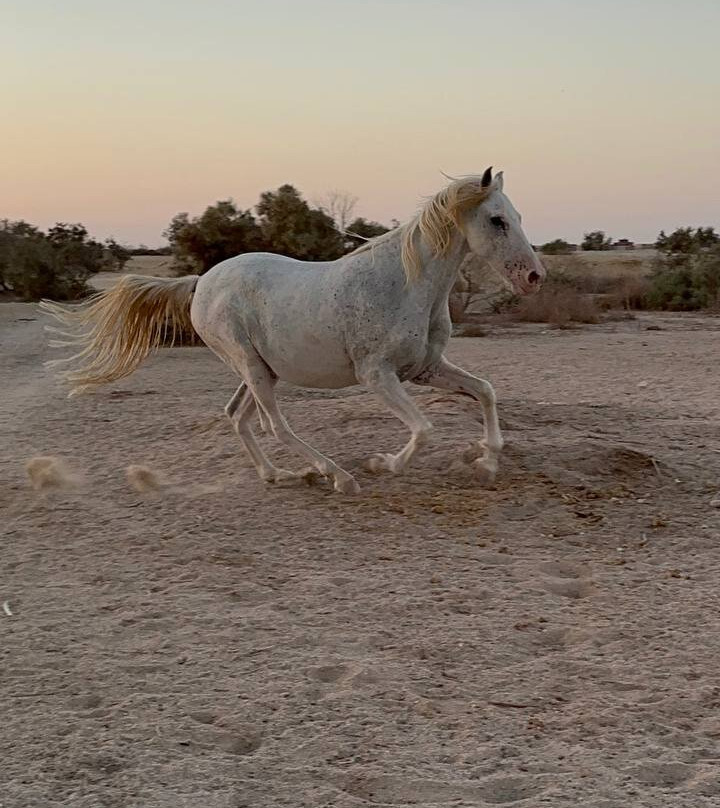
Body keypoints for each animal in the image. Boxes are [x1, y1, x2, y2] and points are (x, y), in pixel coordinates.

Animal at [42, 167, 546, 494]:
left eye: (519, 216)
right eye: (497, 220)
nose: (534, 277)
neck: (405, 284)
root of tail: (203, 282)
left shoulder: (425, 369)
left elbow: (485, 391)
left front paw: (486, 463)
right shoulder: (377, 376)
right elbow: (424, 430)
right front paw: (383, 464)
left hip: (259, 370)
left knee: (237, 416)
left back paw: (281, 476)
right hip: (251, 366)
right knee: (272, 423)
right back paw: (337, 475)